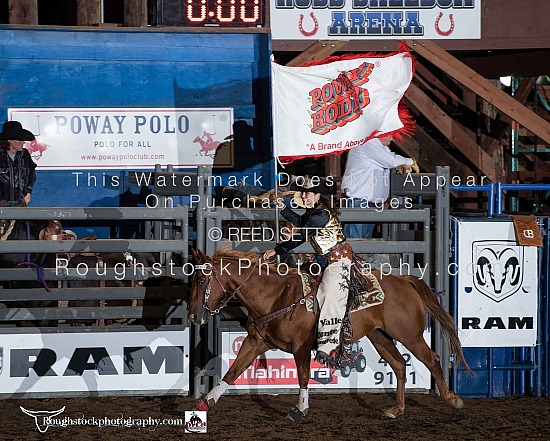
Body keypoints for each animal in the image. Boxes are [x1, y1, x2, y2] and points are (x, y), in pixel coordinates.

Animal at [189, 248, 470, 420]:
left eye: (202, 281)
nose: (193, 316)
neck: (276, 296)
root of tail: (404, 281)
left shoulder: (300, 346)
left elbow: (303, 376)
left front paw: (300, 409)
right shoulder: (256, 342)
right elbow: (233, 371)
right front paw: (205, 402)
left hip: (409, 335)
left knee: (431, 359)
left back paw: (452, 400)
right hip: (380, 336)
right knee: (400, 365)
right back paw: (396, 409)